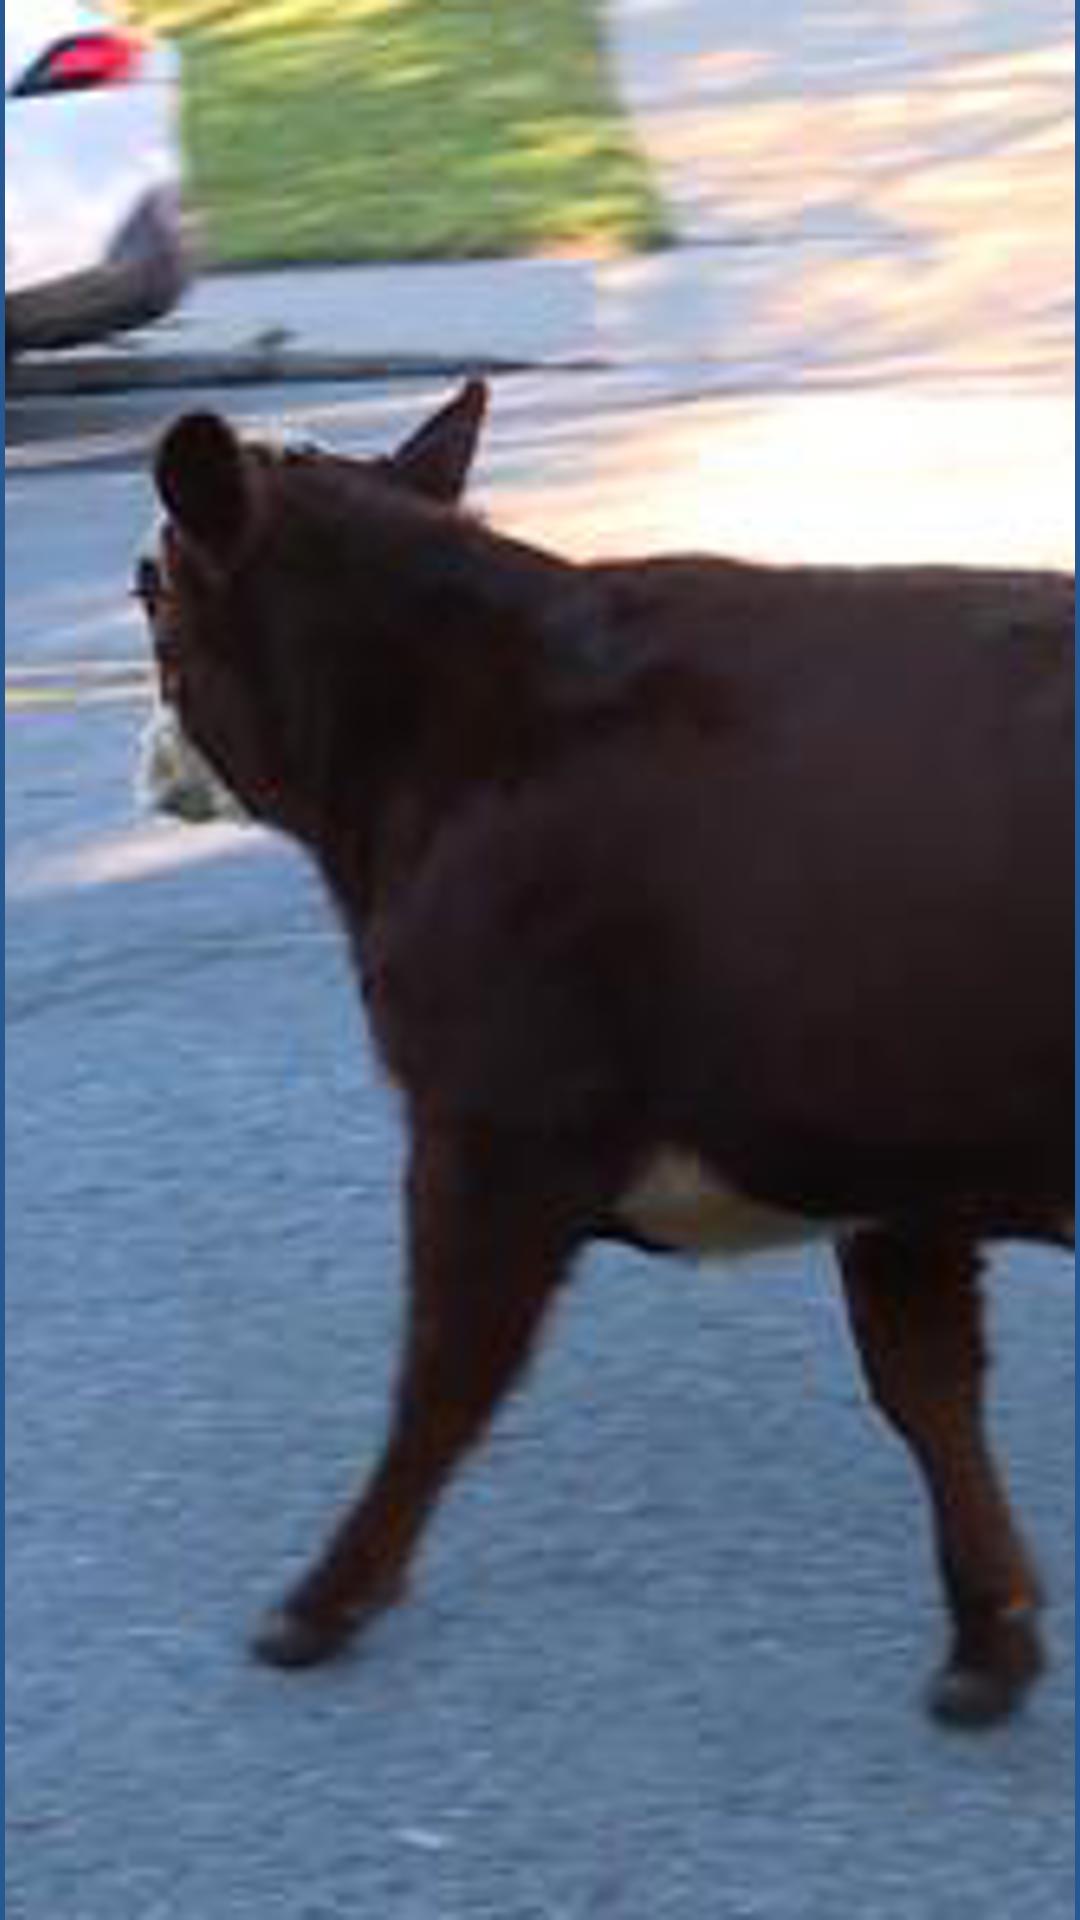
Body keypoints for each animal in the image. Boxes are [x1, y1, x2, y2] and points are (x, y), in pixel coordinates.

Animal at [135, 380, 1073, 1728]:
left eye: (147, 585)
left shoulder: (493, 1128)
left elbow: (441, 1383)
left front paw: (320, 1604)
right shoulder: (885, 1156)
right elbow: (927, 1381)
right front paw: (989, 1643)